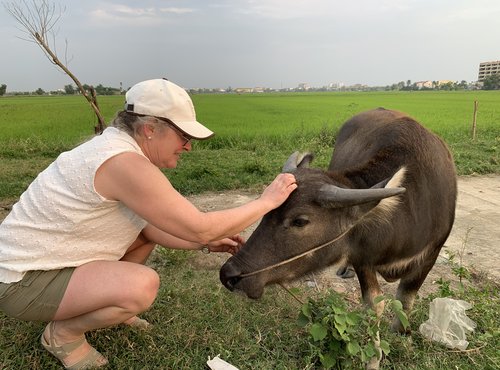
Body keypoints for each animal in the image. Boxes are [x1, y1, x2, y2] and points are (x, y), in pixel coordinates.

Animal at [219, 107, 458, 336]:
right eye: (267, 211)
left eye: (300, 221)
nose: (228, 274)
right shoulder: (362, 257)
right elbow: (374, 306)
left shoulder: (430, 255)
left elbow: (405, 301)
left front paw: (401, 334)